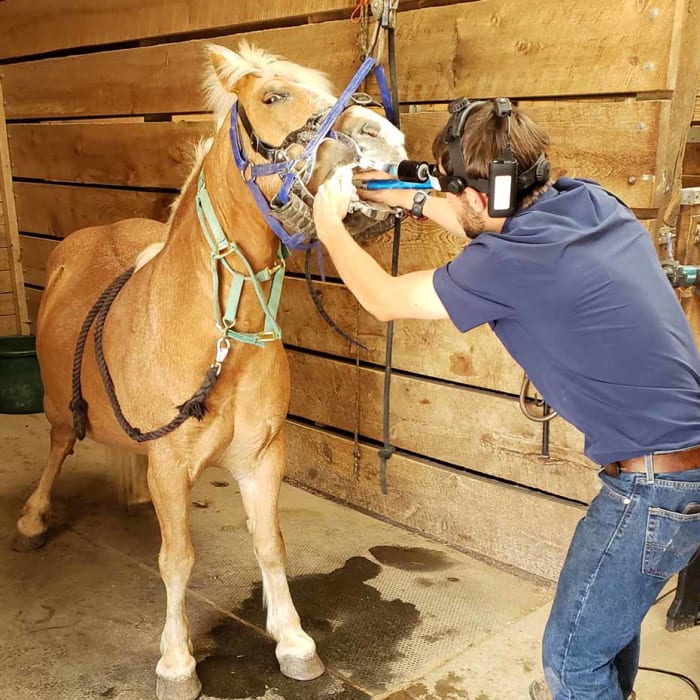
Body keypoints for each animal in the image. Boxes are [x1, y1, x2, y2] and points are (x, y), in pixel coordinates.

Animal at [12, 43, 404, 700]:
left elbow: (270, 545)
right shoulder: (171, 467)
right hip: (59, 412)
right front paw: (177, 662)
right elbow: (177, 560)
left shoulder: (262, 457)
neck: (219, 338)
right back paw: (34, 516)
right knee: (59, 444)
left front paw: (293, 641)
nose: (388, 140)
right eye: (273, 96)